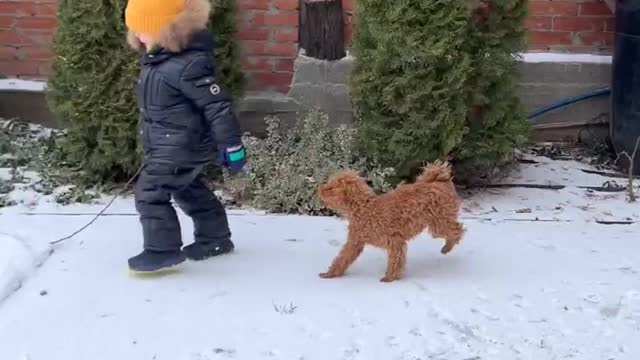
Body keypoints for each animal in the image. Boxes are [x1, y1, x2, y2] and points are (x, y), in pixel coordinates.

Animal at [318, 162, 462, 282]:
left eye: (331, 188)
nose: (319, 188)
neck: (364, 208)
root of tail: (439, 180)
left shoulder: (394, 240)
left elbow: (395, 261)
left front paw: (389, 278)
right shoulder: (354, 243)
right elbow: (341, 259)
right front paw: (330, 274)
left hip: (439, 222)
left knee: (457, 229)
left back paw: (447, 247)